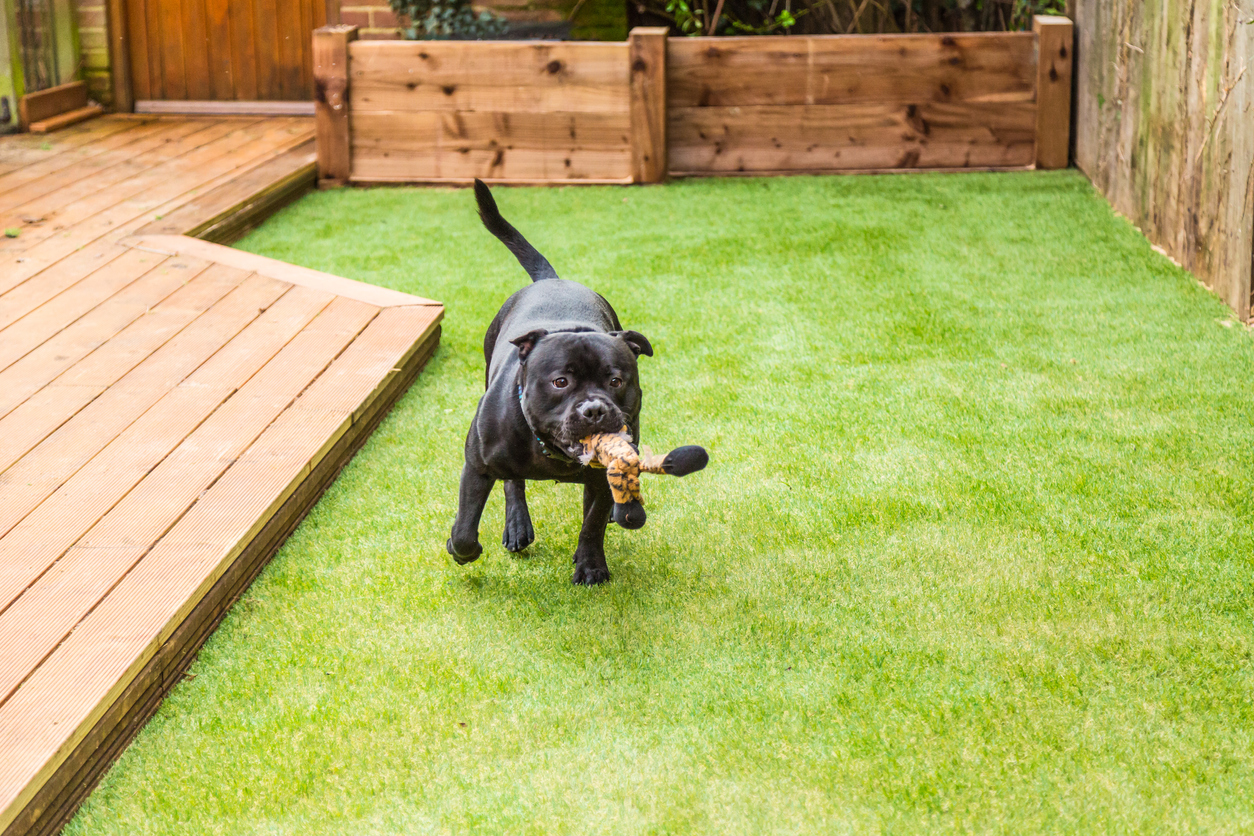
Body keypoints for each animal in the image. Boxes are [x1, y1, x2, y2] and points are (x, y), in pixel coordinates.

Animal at [446, 181, 652, 589]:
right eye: (560, 382)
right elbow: (464, 528)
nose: (594, 409)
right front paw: (461, 550)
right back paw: (516, 526)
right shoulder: (476, 466)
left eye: (616, 380)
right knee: (513, 484)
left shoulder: (599, 477)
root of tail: (550, 280)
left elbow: (591, 524)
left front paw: (590, 564)